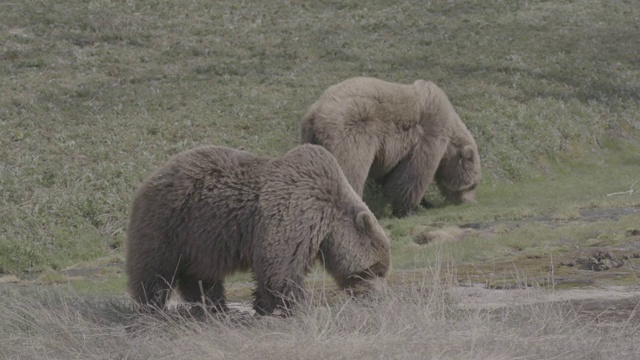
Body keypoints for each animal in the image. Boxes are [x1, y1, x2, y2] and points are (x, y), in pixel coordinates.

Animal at [125, 143, 390, 316]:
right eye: (375, 270)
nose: (376, 297)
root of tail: (149, 179)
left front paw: (263, 306)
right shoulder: (294, 212)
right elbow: (279, 267)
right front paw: (297, 306)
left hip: (202, 240)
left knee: (200, 275)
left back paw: (215, 306)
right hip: (170, 222)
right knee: (155, 270)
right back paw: (152, 305)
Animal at [300, 76, 480, 217]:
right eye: (472, 185)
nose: (470, 203)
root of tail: (314, 112)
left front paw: (426, 203)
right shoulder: (428, 135)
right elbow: (413, 174)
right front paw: (408, 209)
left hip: (312, 140)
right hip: (350, 131)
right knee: (348, 169)